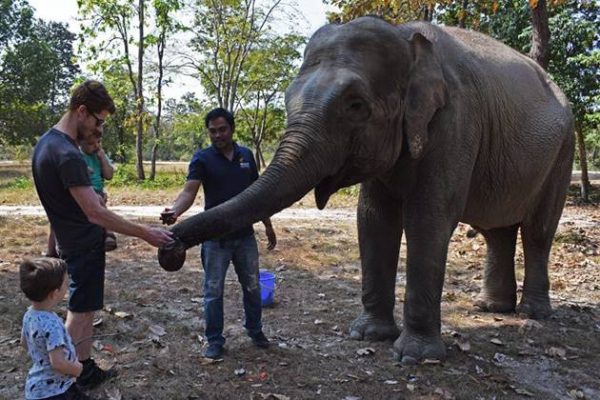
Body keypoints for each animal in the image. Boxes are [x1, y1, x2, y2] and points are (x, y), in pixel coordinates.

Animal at [158, 17, 572, 364]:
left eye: (355, 105)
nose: (170, 247)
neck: (407, 40)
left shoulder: (456, 121)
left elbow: (428, 218)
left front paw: (416, 358)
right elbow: (373, 220)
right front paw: (369, 336)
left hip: (562, 153)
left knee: (537, 231)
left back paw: (534, 313)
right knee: (497, 230)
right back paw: (490, 308)